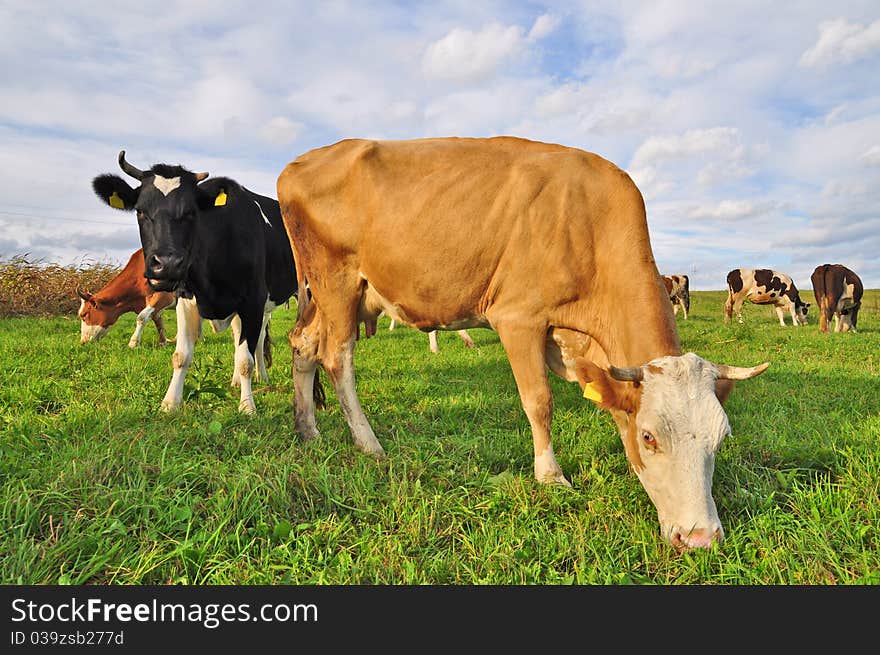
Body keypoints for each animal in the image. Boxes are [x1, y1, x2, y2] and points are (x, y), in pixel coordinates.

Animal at [90, 151, 312, 412]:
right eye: (140, 211)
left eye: (191, 212)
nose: (167, 263)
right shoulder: (186, 299)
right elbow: (181, 356)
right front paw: (170, 403)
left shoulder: (253, 301)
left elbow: (245, 358)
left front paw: (247, 406)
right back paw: (245, 379)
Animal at [278, 137, 768, 548]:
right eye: (648, 437)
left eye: (721, 437)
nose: (701, 538)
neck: (590, 224)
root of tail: (301, 162)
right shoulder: (518, 318)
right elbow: (539, 401)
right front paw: (550, 476)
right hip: (337, 283)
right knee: (337, 357)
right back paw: (369, 444)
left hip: (327, 296)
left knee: (303, 345)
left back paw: (308, 431)